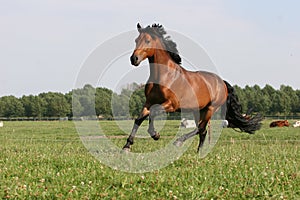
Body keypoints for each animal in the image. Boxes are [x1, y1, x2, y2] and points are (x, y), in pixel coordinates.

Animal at [122, 23, 262, 152]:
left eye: (148, 40)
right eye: (136, 40)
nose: (134, 59)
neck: (165, 76)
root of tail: (222, 82)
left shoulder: (172, 104)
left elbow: (153, 112)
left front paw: (155, 134)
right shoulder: (149, 102)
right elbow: (139, 119)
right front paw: (127, 146)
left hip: (210, 109)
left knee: (201, 128)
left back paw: (180, 142)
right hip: (198, 110)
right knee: (202, 131)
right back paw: (198, 152)